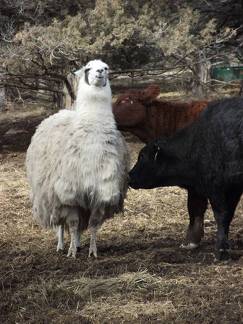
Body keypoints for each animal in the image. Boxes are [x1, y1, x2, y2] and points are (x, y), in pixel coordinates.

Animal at [130, 97, 243, 260]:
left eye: (142, 156)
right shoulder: (234, 190)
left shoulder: (216, 188)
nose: (130, 175)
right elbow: (227, 216)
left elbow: (221, 215)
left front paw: (221, 250)